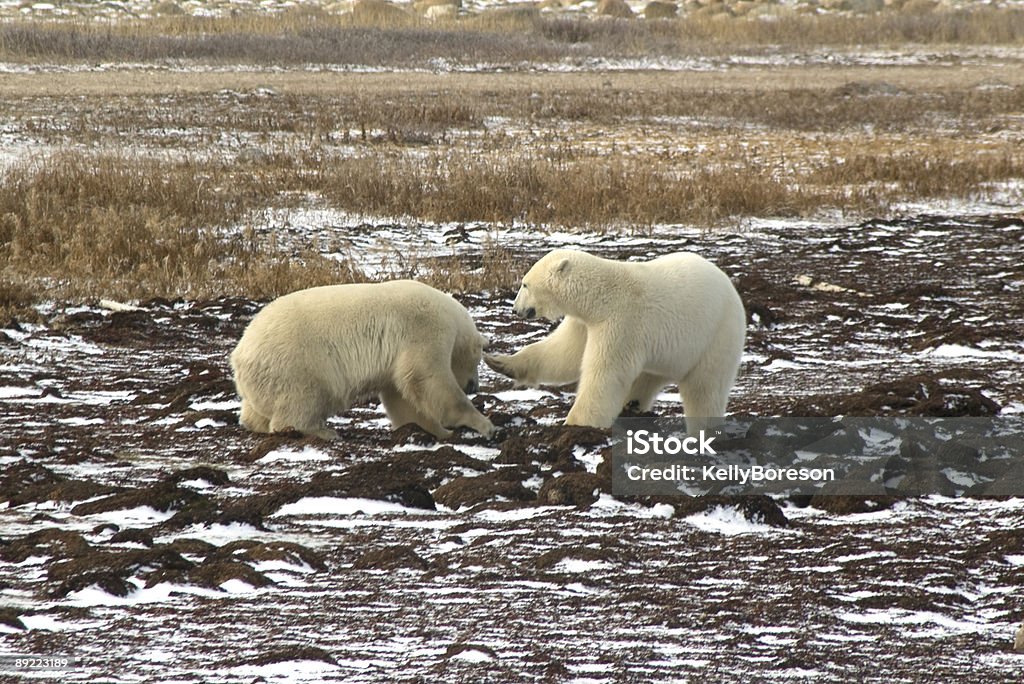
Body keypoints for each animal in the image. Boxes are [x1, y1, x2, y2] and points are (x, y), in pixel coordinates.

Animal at [230, 280, 493, 440]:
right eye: (477, 360)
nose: (473, 386)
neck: (453, 317)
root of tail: (239, 354)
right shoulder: (426, 329)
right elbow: (427, 378)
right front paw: (482, 425)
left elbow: (401, 396)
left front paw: (433, 430)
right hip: (298, 363)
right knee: (303, 400)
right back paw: (323, 431)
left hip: (265, 379)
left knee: (258, 409)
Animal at [483, 249, 749, 432]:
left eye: (525, 284)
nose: (515, 309)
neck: (601, 296)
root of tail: (733, 291)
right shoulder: (585, 323)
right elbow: (563, 354)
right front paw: (499, 362)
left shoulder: (622, 323)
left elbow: (604, 374)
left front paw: (573, 424)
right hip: (669, 352)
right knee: (647, 378)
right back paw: (631, 407)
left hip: (717, 336)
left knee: (704, 390)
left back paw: (702, 431)